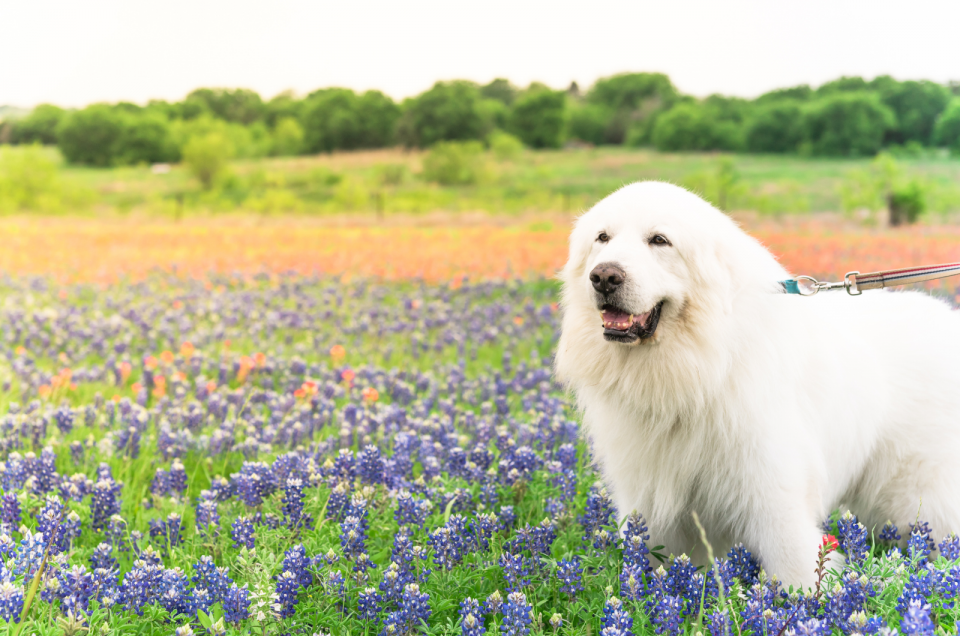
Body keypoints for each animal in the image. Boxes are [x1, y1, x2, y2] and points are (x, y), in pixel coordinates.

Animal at [552, 179, 960, 588]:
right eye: (602, 237)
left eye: (659, 240)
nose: (604, 276)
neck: (695, 368)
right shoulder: (651, 495)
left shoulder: (771, 488)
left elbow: (796, 566)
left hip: (920, 493)